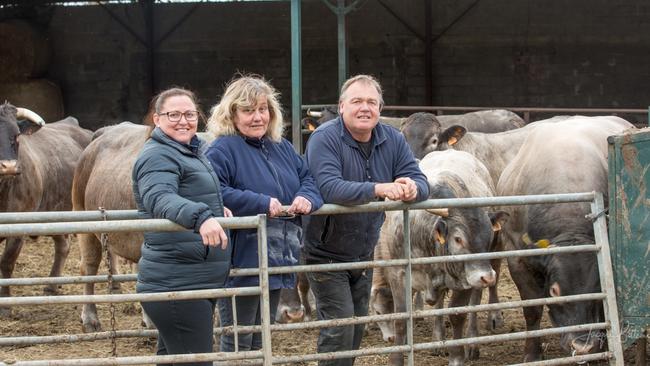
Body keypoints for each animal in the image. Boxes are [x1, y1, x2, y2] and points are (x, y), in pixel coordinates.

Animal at [0, 103, 92, 314]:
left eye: (16, 135)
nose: (9, 167)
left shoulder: (18, 229)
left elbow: (6, 263)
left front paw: (5, 305)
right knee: (63, 245)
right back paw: (51, 284)